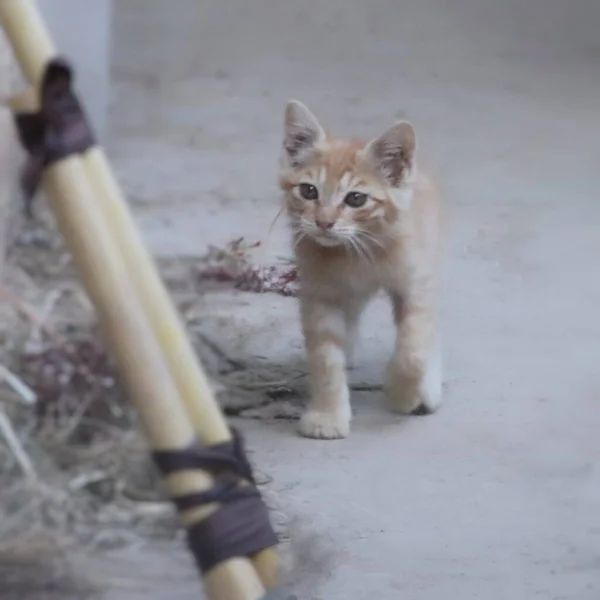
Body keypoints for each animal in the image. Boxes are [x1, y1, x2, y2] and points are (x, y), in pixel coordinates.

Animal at [278, 102, 442, 440]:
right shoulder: (320, 294)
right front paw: (327, 415)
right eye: (308, 191)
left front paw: (403, 392)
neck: (356, 254)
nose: (324, 222)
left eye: (355, 198)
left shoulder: (415, 285)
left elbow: (413, 348)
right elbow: (325, 359)